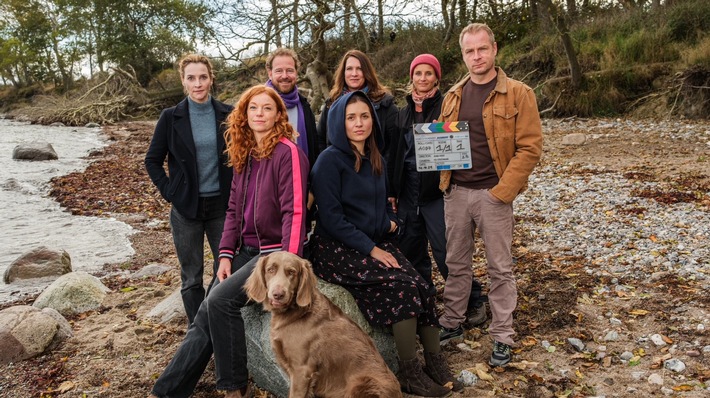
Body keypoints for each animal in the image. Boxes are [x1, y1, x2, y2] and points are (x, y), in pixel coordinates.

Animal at [245, 252, 404, 398]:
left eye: (292, 272)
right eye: (270, 269)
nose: (278, 294)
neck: (297, 313)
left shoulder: (302, 371)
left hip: (362, 384)